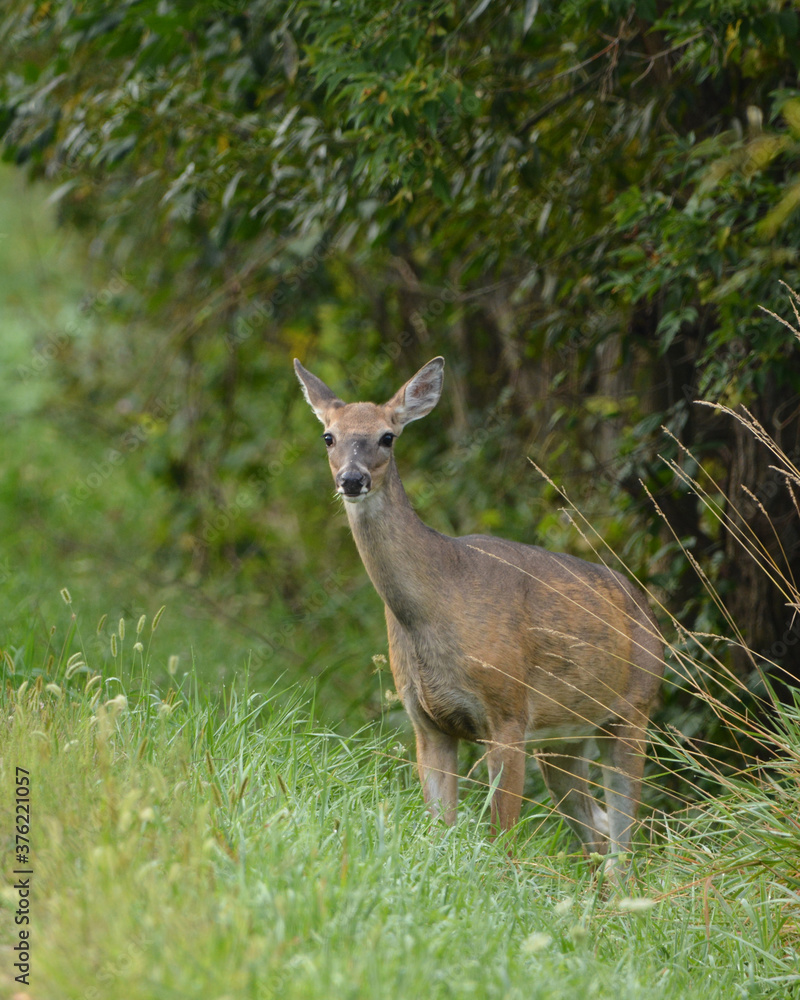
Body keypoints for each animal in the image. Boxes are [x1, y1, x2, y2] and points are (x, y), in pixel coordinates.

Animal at [294, 355, 664, 861]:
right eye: (328, 436)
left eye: (388, 436)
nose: (352, 479)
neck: (437, 604)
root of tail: (648, 613)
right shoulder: (427, 723)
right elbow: (439, 829)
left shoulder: (508, 714)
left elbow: (502, 842)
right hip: (563, 740)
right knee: (596, 833)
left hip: (633, 710)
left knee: (623, 842)